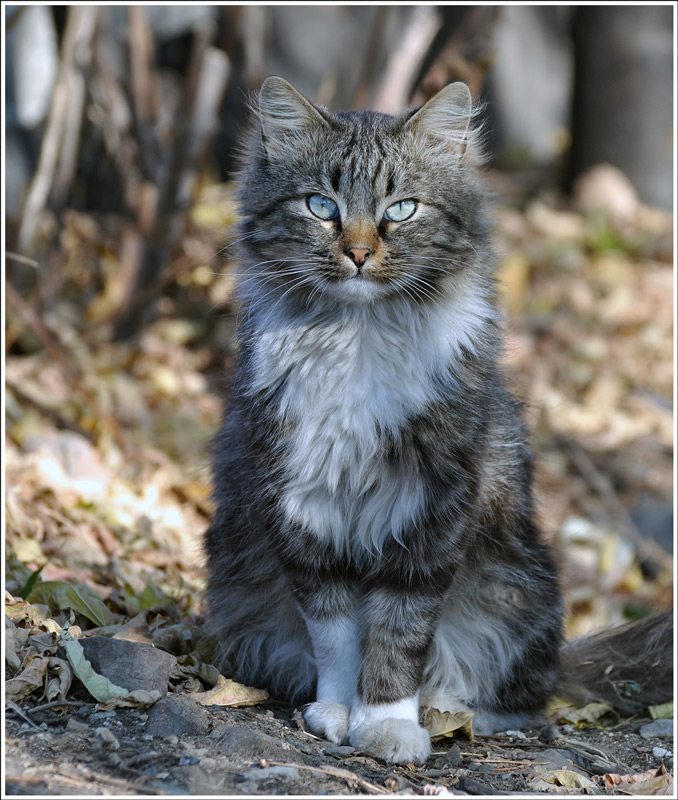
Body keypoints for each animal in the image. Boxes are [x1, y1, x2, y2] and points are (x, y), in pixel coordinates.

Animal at [206, 78, 676, 764]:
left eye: (402, 209)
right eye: (321, 205)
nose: (358, 253)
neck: (357, 340)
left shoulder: (429, 510)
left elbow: (398, 636)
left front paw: (388, 725)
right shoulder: (303, 506)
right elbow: (337, 637)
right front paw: (337, 712)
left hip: (517, 595)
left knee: (519, 699)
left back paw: (442, 709)